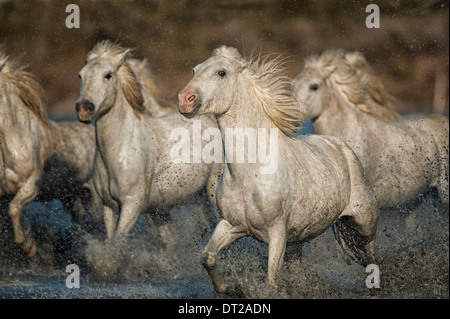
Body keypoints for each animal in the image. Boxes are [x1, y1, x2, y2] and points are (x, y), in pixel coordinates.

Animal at [76, 40, 223, 276]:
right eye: (81, 75)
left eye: (108, 75)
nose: (84, 109)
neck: (118, 151)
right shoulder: (110, 206)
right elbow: (110, 240)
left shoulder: (131, 206)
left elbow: (117, 243)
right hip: (173, 206)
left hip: (210, 193)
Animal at [178, 46, 378, 296]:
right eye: (194, 70)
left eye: (221, 72)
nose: (184, 100)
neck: (250, 172)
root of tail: (341, 146)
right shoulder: (232, 225)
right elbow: (207, 257)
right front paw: (232, 287)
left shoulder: (277, 232)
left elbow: (271, 280)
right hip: (297, 241)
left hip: (364, 221)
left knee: (371, 254)